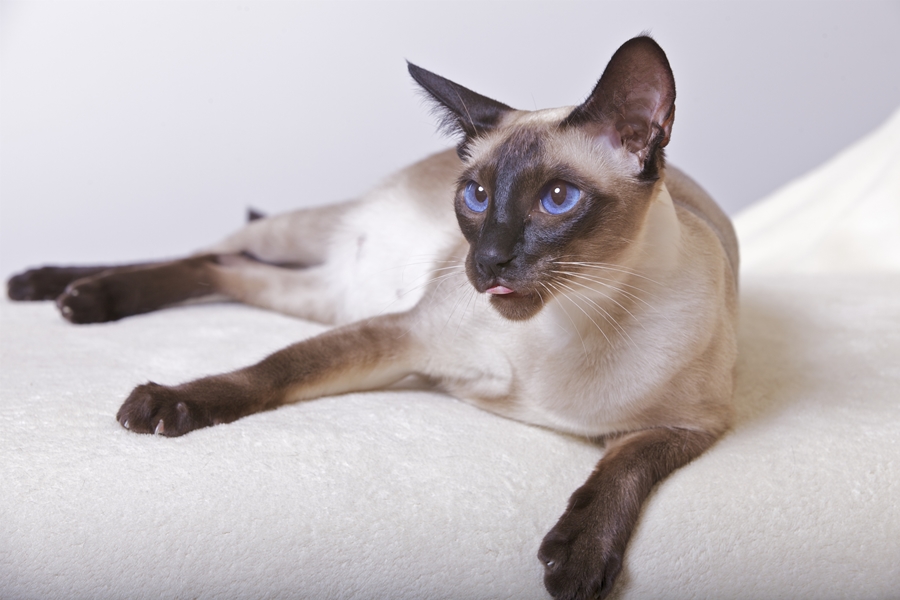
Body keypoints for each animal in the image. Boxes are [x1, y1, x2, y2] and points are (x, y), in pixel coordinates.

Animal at [7, 36, 740, 600]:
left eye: (558, 199)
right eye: (476, 196)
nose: (486, 262)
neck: (575, 322)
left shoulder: (690, 427)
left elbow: (620, 469)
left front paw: (577, 558)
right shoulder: (405, 337)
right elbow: (270, 370)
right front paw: (165, 404)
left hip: (317, 294)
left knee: (220, 266)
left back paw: (75, 297)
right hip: (302, 243)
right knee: (208, 250)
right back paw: (59, 291)